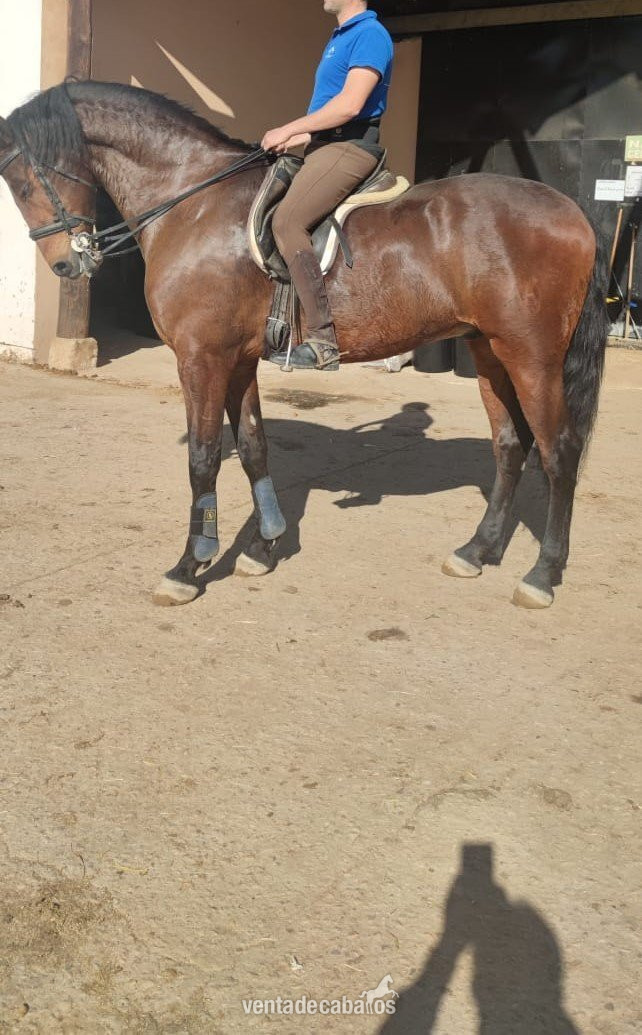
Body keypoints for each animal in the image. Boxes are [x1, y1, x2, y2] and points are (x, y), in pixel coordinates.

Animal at [0, 81, 608, 609]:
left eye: (23, 182)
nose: (66, 264)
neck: (194, 201)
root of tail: (572, 210)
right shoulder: (238, 360)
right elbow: (252, 447)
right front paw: (264, 545)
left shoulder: (202, 358)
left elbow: (203, 458)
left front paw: (190, 567)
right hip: (489, 352)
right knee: (510, 446)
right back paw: (478, 551)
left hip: (533, 356)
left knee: (559, 453)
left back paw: (543, 574)